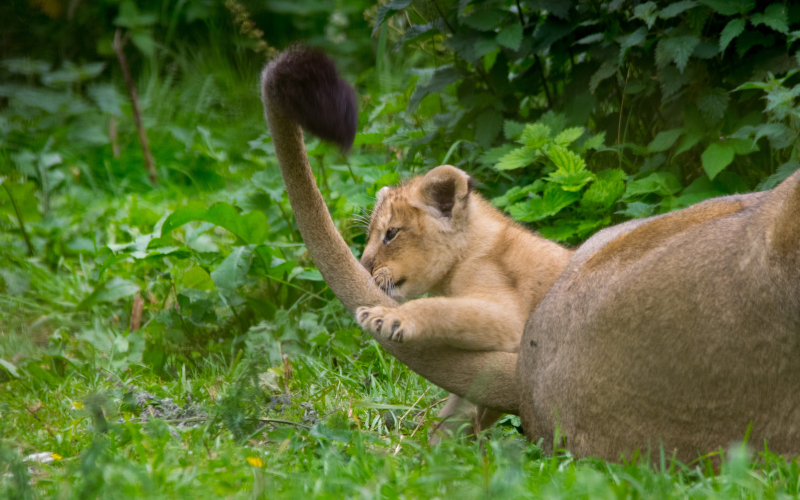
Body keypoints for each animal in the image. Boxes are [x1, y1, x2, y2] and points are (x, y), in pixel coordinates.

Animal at [261, 46, 800, 461]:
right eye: (371, 236)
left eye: (391, 234)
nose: (369, 267)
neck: (470, 250)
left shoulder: (507, 319)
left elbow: (443, 310)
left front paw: (391, 320)